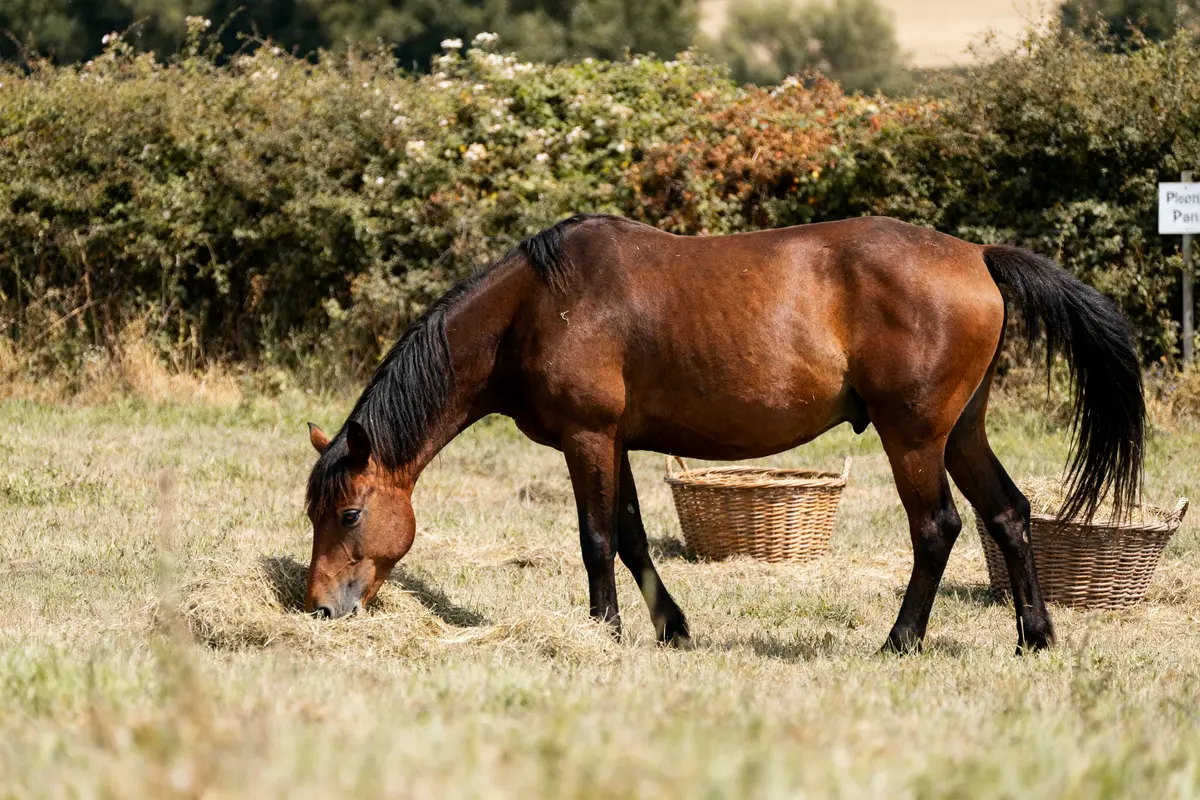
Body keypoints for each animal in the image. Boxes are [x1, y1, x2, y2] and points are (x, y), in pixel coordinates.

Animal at [304, 214, 1144, 653]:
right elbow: (633, 537)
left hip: (913, 438)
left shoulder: (587, 438)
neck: (536, 306)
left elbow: (596, 540)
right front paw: (670, 628)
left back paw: (900, 641)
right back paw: (1035, 635)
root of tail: (977, 254)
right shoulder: (618, 443)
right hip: (961, 432)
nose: (318, 607)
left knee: (938, 528)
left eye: (349, 513)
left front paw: (604, 630)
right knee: (1008, 513)